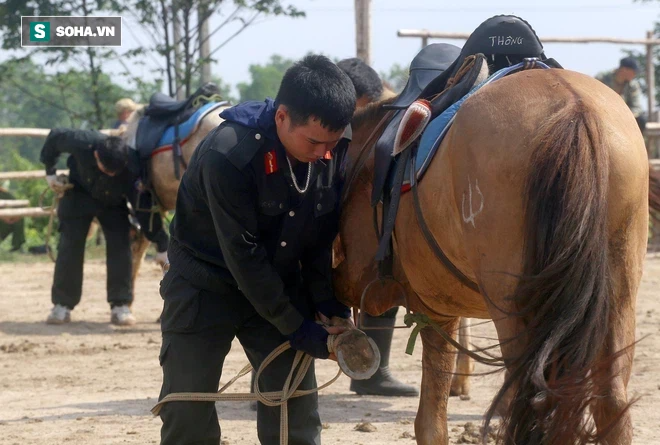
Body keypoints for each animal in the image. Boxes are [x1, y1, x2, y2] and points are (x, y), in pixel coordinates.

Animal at [332, 67, 648, 444]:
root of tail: (575, 108)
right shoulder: (440, 307)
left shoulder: (433, 309)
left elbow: (430, 423)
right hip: (617, 295)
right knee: (608, 401)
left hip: (515, 310)